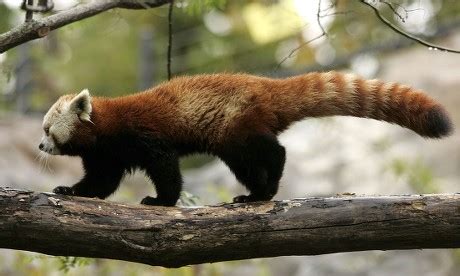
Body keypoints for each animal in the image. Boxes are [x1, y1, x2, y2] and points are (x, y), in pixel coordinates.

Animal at [38, 72, 452, 206]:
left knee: (270, 151)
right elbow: (101, 182)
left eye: (45, 129)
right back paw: (255, 194)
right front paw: (71, 190)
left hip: (234, 126)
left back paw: (265, 189)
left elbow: (166, 168)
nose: (41, 146)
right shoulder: (105, 155)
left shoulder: (144, 135)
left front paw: (161, 201)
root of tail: (265, 84)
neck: (105, 129)